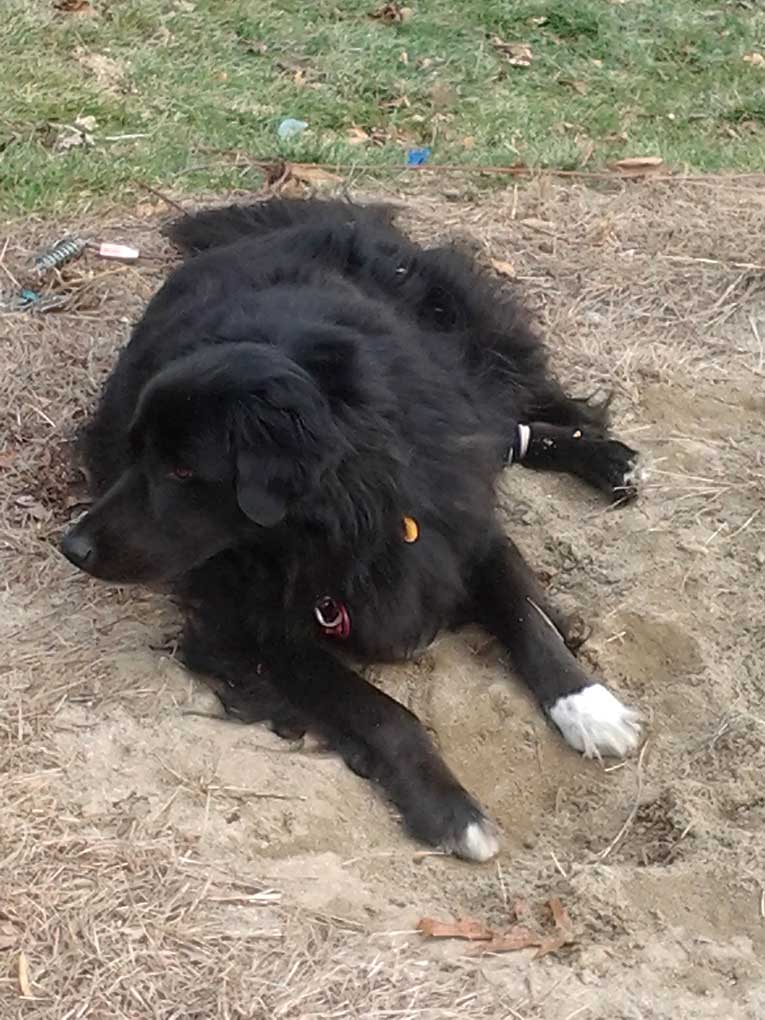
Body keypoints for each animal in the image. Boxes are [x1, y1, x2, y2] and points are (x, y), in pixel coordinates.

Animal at [62, 198, 644, 860]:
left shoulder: (460, 528)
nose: (72, 548)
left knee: (518, 422)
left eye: (183, 469)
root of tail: (318, 219)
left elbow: (528, 619)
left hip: (464, 360)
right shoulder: (246, 626)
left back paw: (607, 461)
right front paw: (449, 808)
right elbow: (379, 711)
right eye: (135, 451)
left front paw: (589, 706)